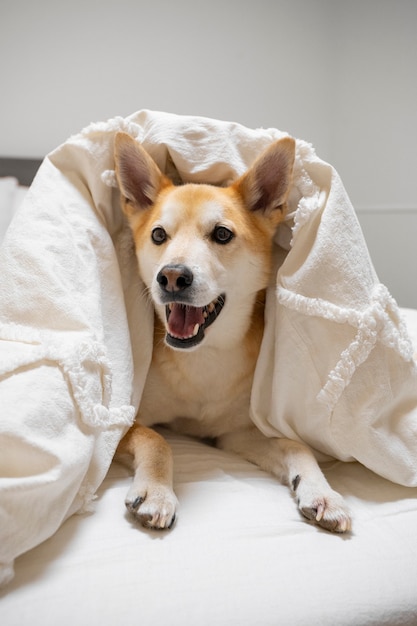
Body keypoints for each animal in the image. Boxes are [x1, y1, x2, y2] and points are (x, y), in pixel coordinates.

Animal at [112, 132, 350, 532]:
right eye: (159, 234)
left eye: (222, 234)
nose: (172, 276)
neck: (203, 359)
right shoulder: (122, 422)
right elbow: (156, 439)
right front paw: (157, 492)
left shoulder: (233, 433)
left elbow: (295, 445)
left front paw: (321, 492)